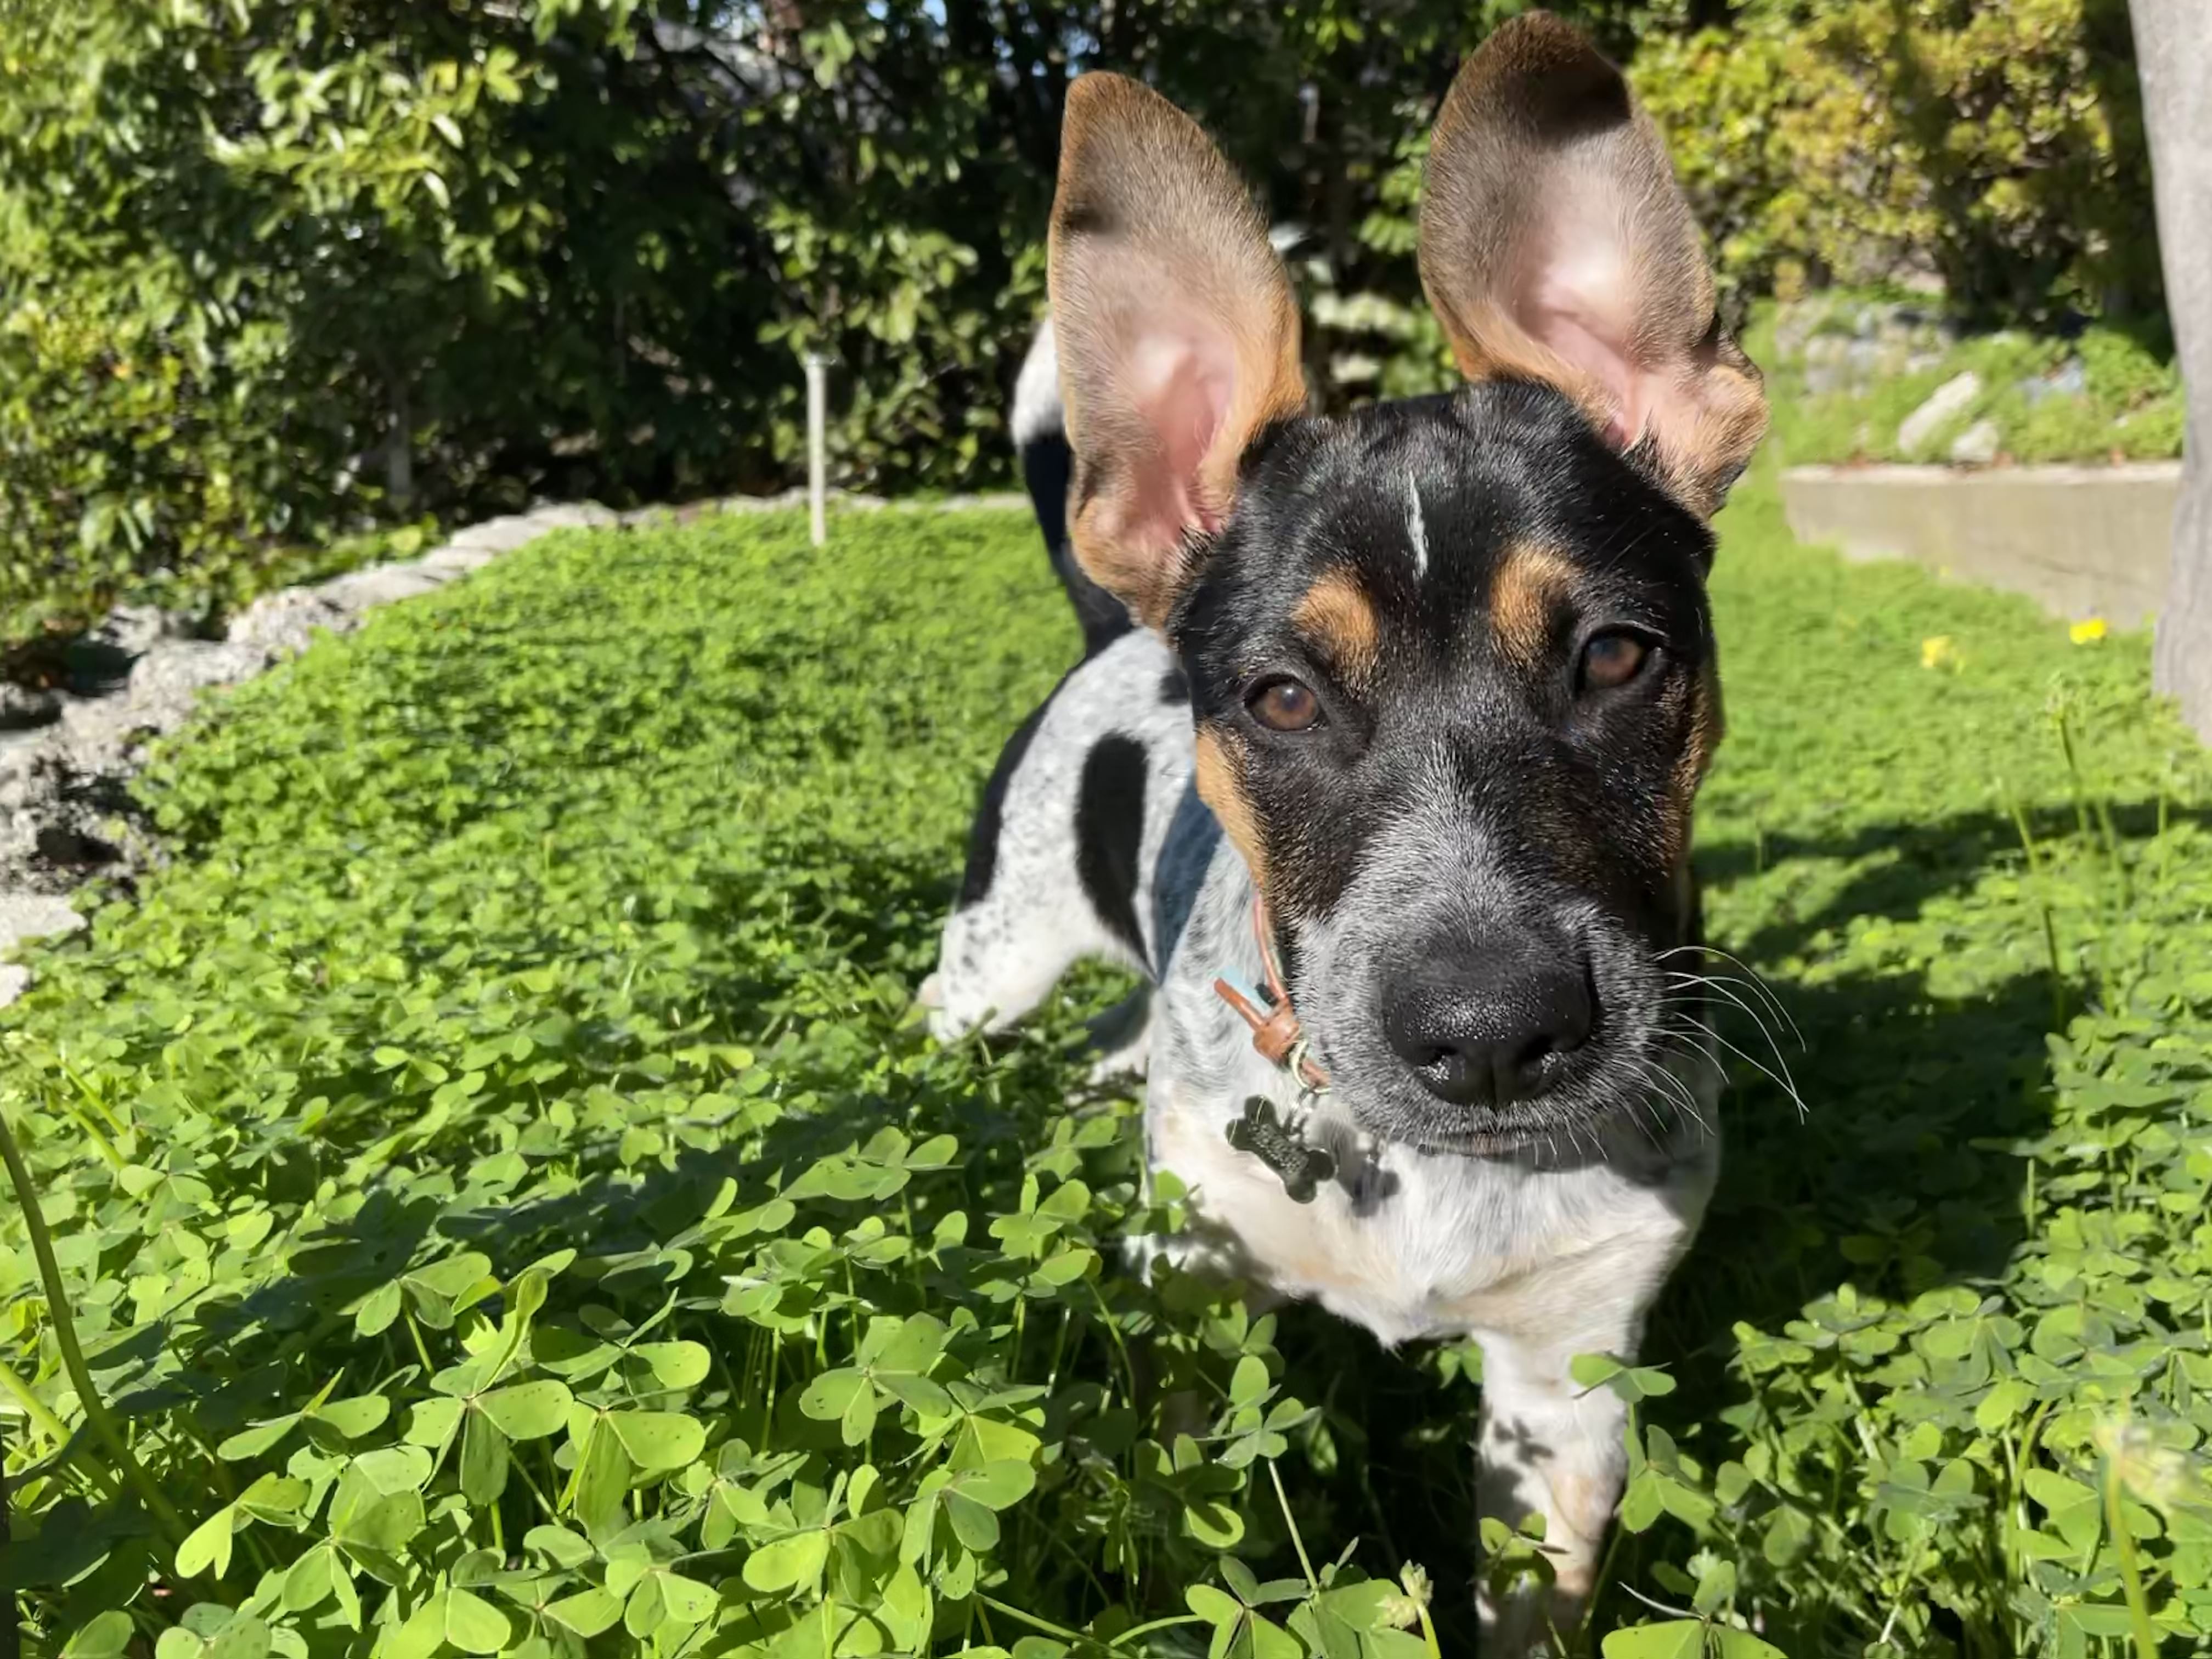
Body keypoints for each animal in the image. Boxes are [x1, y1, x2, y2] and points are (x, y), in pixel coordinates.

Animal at [916, 16, 1760, 1654]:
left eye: (1618, 657)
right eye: (1283, 697)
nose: (1491, 1032)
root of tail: (1105, 635)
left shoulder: (1565, 1386)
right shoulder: (1194, 1299)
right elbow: (1188, 1533)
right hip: (995, 958)